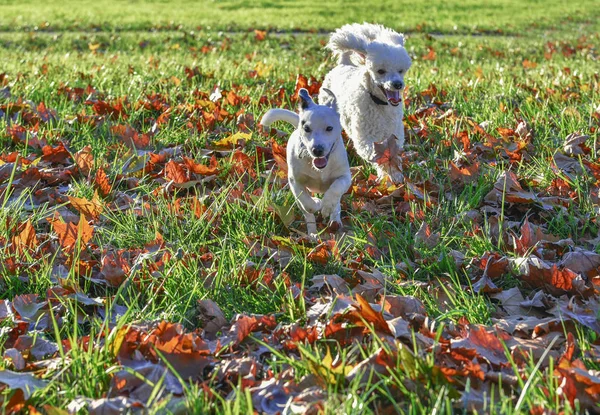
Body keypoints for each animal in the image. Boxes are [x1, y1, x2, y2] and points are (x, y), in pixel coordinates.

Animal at [258, 88, 352, 237]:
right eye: (307, 129)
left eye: (329, 128)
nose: (317, 150)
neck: (319, 169)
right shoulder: (295, 181)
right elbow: (306, 203)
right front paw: (317, 203)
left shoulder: (345, 177)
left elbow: (336, 188)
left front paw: (326, 205)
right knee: (307, 214)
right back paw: (313, 234)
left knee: (336, 203)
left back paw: (334, 219)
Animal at [318, 22, 412, 182]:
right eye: (381, 71)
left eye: (401, 70)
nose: (397, 84)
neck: (380, 104)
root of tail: (344, 63)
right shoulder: (365, 137)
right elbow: (376, 154)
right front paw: (387, 173)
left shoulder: (394, 132)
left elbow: (394, 151)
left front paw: (395, 174)